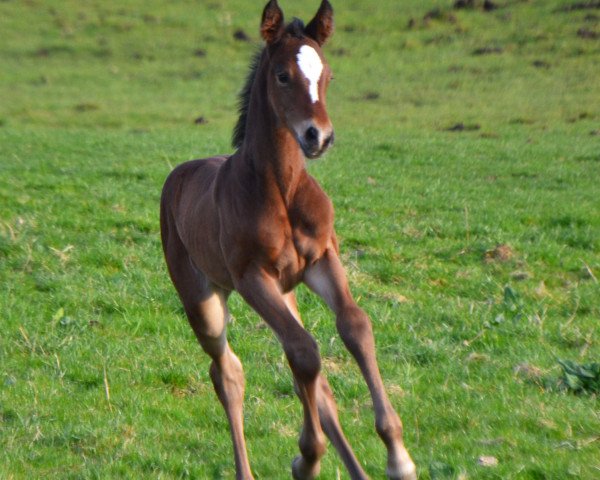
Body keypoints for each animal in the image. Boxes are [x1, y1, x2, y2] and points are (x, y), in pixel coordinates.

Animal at [158, 1, 418, 478]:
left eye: (327, 75)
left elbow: (354, 328)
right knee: (228, 373)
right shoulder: (251, 278)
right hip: (204, 301)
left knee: (315, 382)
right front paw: (308, 455)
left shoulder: (322, 260)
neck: (281, 189)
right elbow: (304, 351)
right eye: (282, 75)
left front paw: (398, 456)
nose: (319, 136)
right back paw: (252, 469)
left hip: (286, 291)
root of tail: (179, 175)